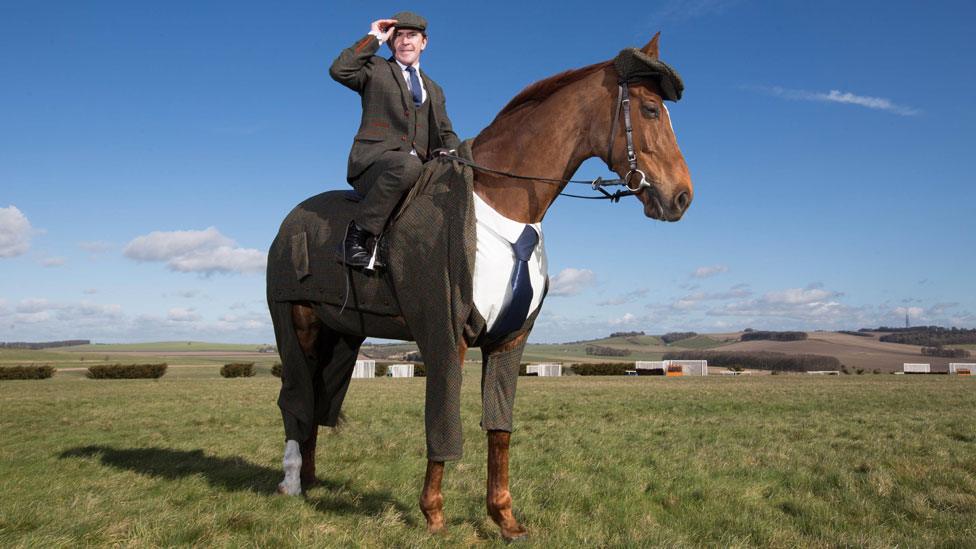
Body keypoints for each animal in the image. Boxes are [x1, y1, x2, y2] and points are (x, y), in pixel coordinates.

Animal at [266, 31, 692, 540]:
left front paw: (505, 518)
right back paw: (291, 482)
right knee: (295, 398)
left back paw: (309, 479)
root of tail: (291, 220)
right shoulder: (445, 335)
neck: (502, 205)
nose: (682, 196)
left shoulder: (509, 340)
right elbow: (443, 422)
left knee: (316, 398)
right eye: (650, 110)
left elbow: (500, 431)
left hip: (342, 333)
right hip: (296, 323)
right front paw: (433, 512)